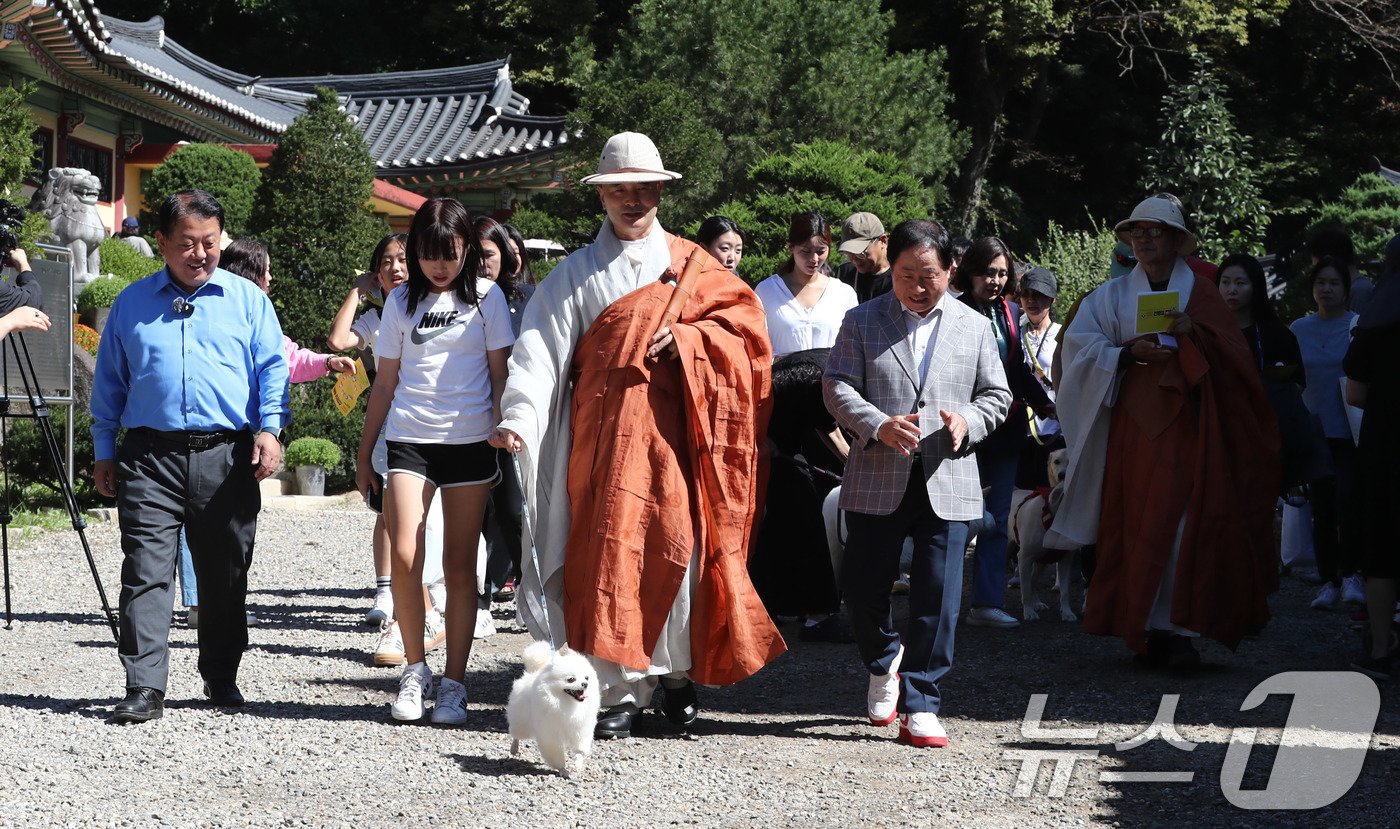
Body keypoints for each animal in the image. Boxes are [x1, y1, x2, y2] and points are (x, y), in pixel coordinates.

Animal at [506, 641, 599, 778]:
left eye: (587, 678)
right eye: (571, 679)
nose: (585, 684)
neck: (567, 704)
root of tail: (533, 672)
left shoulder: (580, 730)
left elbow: (580, 750)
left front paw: (577, 763)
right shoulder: (550, 735)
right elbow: (556, 755)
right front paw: (563, 770)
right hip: (522, 722)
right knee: (516, 734)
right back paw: (514, 748)